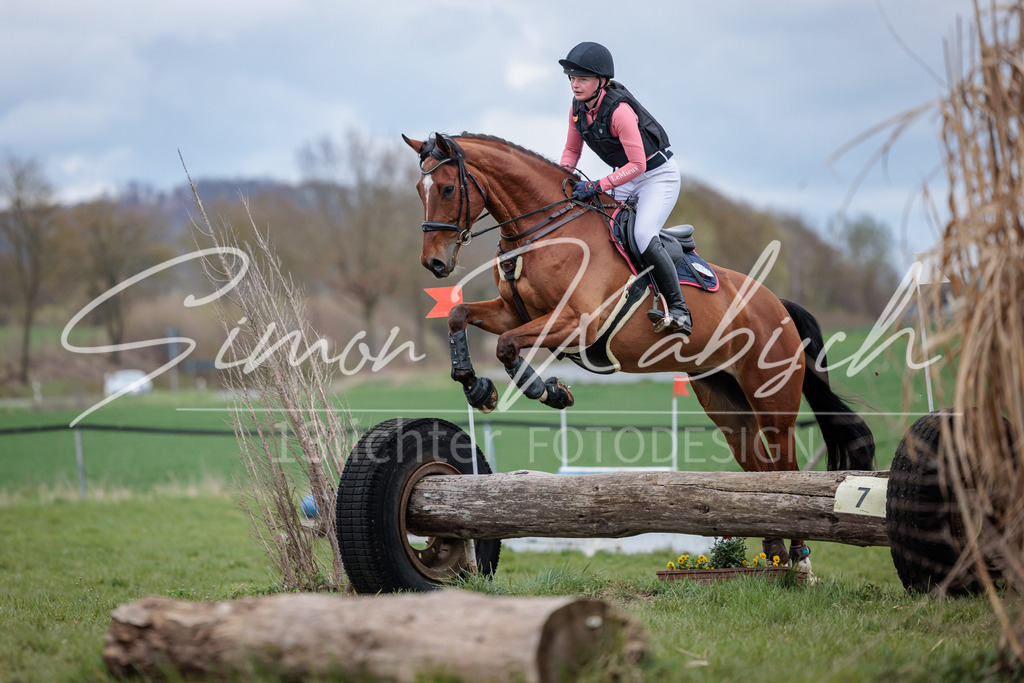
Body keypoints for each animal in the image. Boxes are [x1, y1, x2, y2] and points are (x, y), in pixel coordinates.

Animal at [402, 132, 875, 570]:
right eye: (419, 192)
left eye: (447, 188)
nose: (434, 264)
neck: (545, 232)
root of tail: (777, 304)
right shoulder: (512, 313)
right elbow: (459, 315)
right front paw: (475, 386)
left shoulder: (578, 322)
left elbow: (505, 346)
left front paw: (549, 392)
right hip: (724, 399)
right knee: (757, 468)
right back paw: (774, 555)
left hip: (772, 398)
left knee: (786, 467)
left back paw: (799, 560)